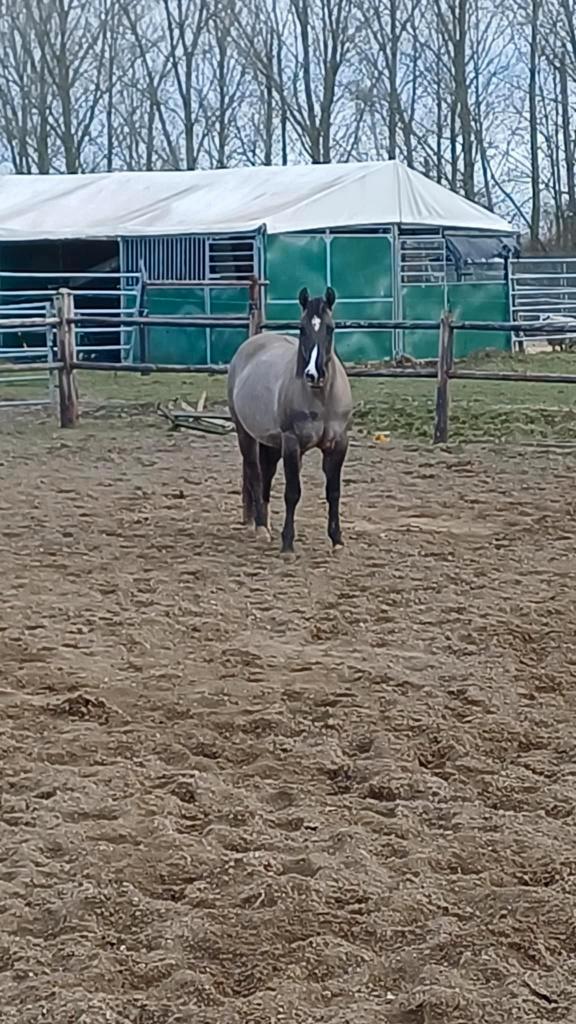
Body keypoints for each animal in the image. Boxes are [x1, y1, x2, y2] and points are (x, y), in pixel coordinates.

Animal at [227, 286, 353, 555]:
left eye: (331, 328)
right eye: (302, 328)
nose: (314, 374)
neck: (320, 398)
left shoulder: (338, 443)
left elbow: (334, 492)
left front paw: (337, 540)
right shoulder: (292, 442)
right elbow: (292, 492)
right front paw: (287, 544)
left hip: (272, 444)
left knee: (266, 474)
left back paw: (263, 523)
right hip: (246, 434)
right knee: (254, 473)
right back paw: (260, 527)